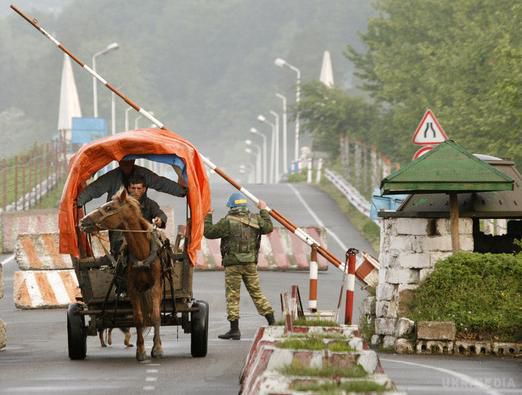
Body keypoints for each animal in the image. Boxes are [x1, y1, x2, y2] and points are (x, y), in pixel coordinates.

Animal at [80, 189, 162, 362]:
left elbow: (156, 315)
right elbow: (138, 319)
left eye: (109, 208)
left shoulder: (155, 286)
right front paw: (141, 351)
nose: (83, 221)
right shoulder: (132, 288)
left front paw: (157, 348)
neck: (142, 253)